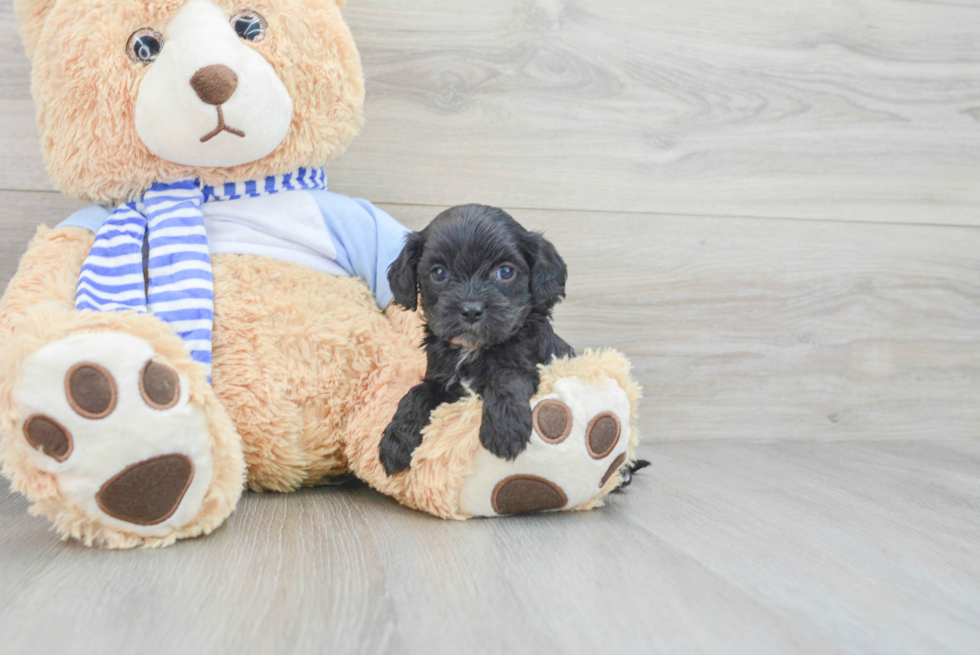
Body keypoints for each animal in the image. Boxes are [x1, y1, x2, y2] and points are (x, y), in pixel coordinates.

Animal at [378, 202, 576, 474]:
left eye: (505, 271)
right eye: (439, 273)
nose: (471, 310)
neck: (472, 349)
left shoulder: (533, 366)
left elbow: (507, 377)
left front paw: (505, 429)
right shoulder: (441, 380)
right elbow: (416, 393)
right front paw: (396, 441)